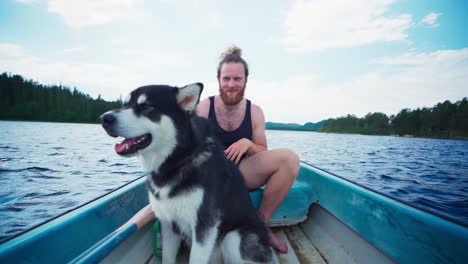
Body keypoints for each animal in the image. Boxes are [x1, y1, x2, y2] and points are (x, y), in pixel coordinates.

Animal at [100, 84, 278, 264]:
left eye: (146, 106)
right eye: (124, 104)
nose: (104, 118)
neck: (176, 161)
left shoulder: (204, 227)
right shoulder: (168, 223)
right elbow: (167, 258)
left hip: (233, 238)